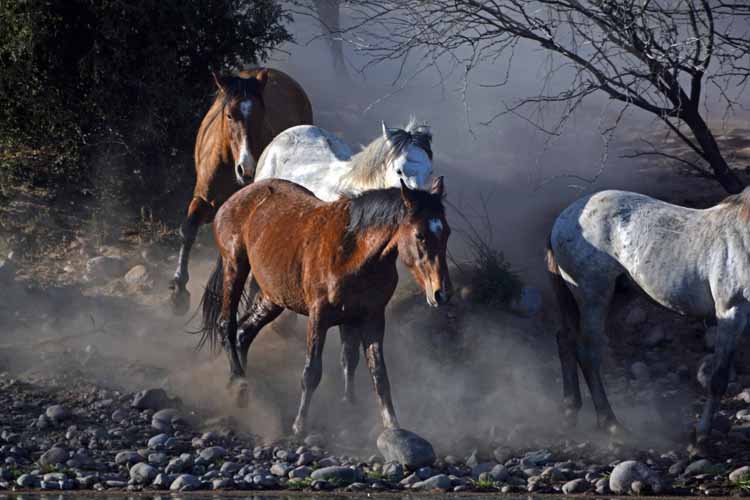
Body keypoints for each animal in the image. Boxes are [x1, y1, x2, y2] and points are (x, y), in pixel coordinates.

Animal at [171, 68, 314, 314]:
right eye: (229, 115)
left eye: (261, 116)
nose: (246, 169)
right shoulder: (204, 200)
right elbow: (188, 230)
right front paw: (179, 292)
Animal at [197, 178, 452, 436]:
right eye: (420, 235)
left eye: (447, 232)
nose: (442, 293)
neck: (352, 250)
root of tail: (234, 199)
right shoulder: (318, 317)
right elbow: (312, 372)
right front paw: (300, 424)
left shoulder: (369, 317)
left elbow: (372, 370)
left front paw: (386, 422)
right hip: (235, 267)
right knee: (226, 325)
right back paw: (238, 385)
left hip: (273, 297)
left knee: (244, 332)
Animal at [548, 188, 750, 450]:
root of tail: (563, 218)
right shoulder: (731, 312)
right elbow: (718, 380)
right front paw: (700, 438)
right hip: (593, 295)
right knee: (587, 352)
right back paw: (611, 424)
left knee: (565, 340)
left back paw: (570, 413)